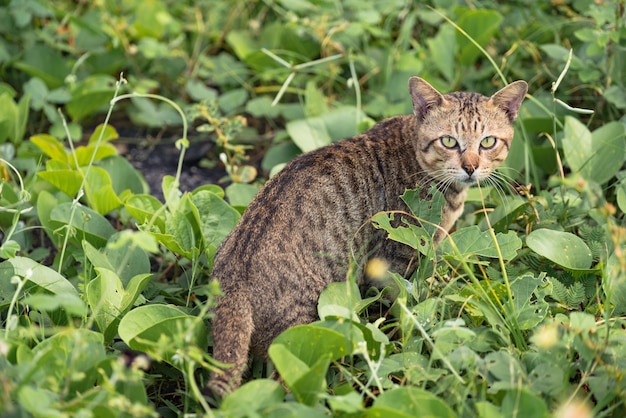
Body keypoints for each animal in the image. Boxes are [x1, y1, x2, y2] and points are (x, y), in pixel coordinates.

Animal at [206, 76, 528, 396]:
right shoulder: (396, 260)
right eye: (449, 141)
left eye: (487, 142)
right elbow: (405, 306)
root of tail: (234, 283)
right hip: (301, 332)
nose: (470, 167)